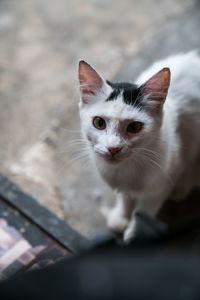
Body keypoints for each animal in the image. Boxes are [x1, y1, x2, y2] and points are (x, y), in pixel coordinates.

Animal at [77, 51, 200, 243]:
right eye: (98, 123)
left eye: (135, 127)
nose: (113, 148)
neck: (126, 170)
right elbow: (126, 198)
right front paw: (121, 217)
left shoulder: (161, 184)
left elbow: (143, 211)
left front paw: (136, 235)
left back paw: (181, 189)